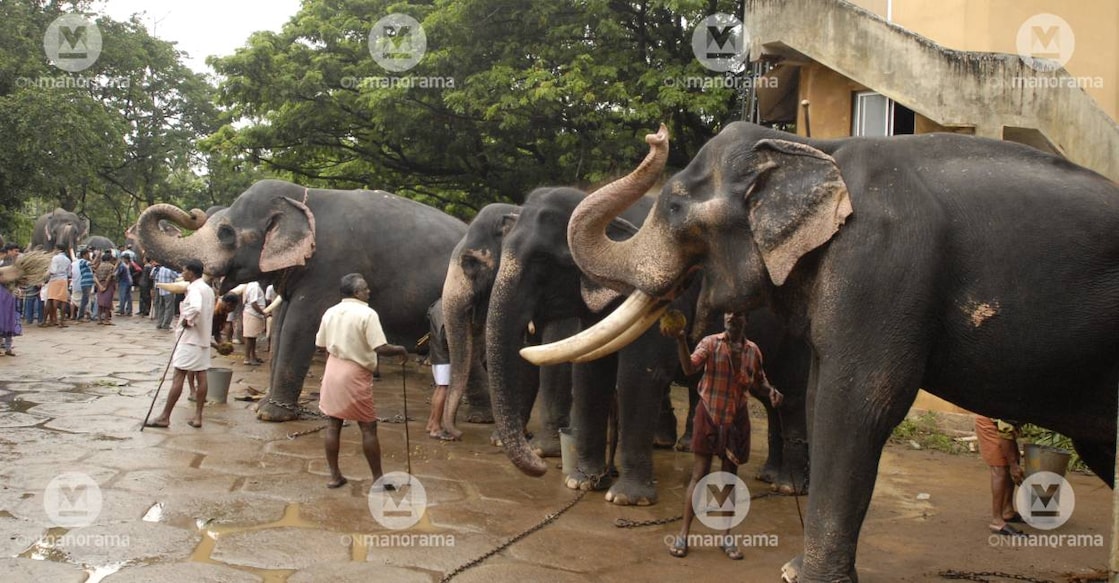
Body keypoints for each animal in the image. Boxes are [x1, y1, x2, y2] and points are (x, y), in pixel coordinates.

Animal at [136, 179, 484, 421]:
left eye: (225, 233)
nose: (193, 213)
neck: (303, 198)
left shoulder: (330, 266)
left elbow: (299, 326)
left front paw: (271, 416)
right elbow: (281, 326)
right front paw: (265, 407)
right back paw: (476, 417)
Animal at [527, 123, 1119, 581]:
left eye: (674, 205)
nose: (658, 134)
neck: (810, 147)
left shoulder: (878, 265)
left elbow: (856, 402)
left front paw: (803, 577)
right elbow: (814, 396)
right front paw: (793, 568)